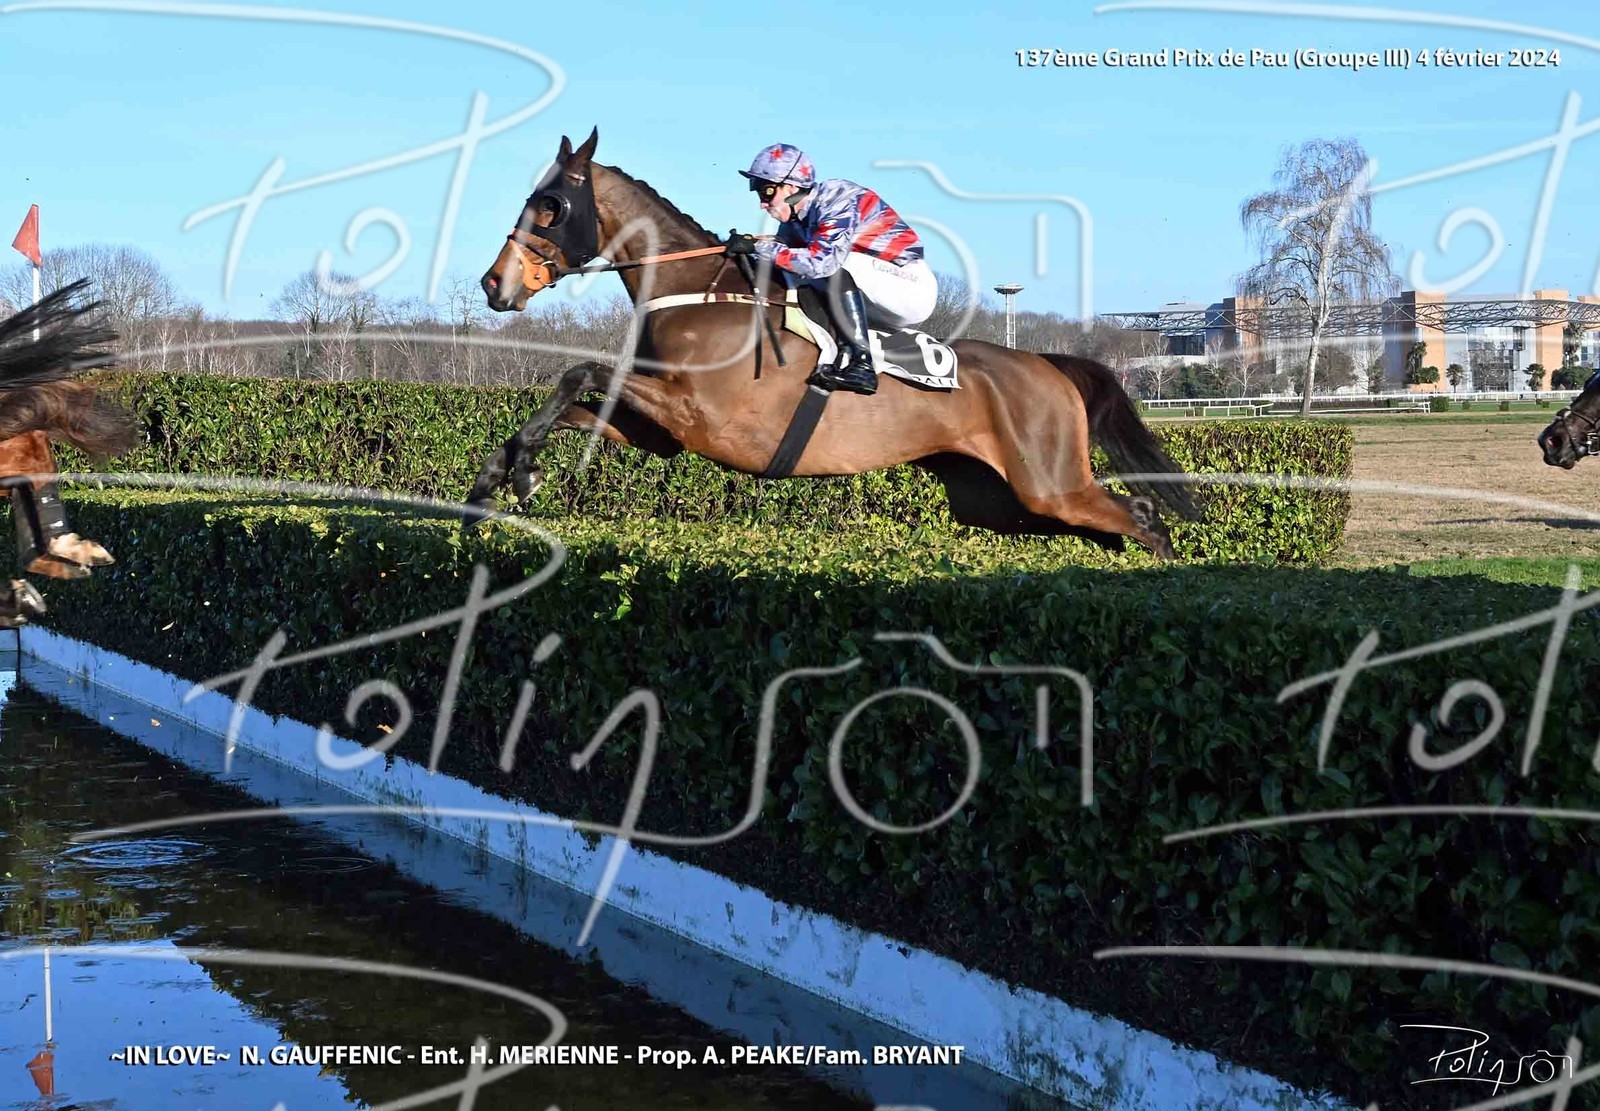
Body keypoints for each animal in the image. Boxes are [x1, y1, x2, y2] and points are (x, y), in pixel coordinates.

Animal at [465, 129, 1201, 556]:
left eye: (551, 205)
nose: (494, 283)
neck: (700, 292)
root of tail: (1044, 366)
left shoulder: (701, 414)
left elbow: (581, 373)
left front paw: (518, 474)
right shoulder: (665, 430)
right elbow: (575, 398)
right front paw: (497, 480)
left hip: (1048, 483)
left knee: (1137, 512)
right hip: (1000, 500)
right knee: (1126, 515)